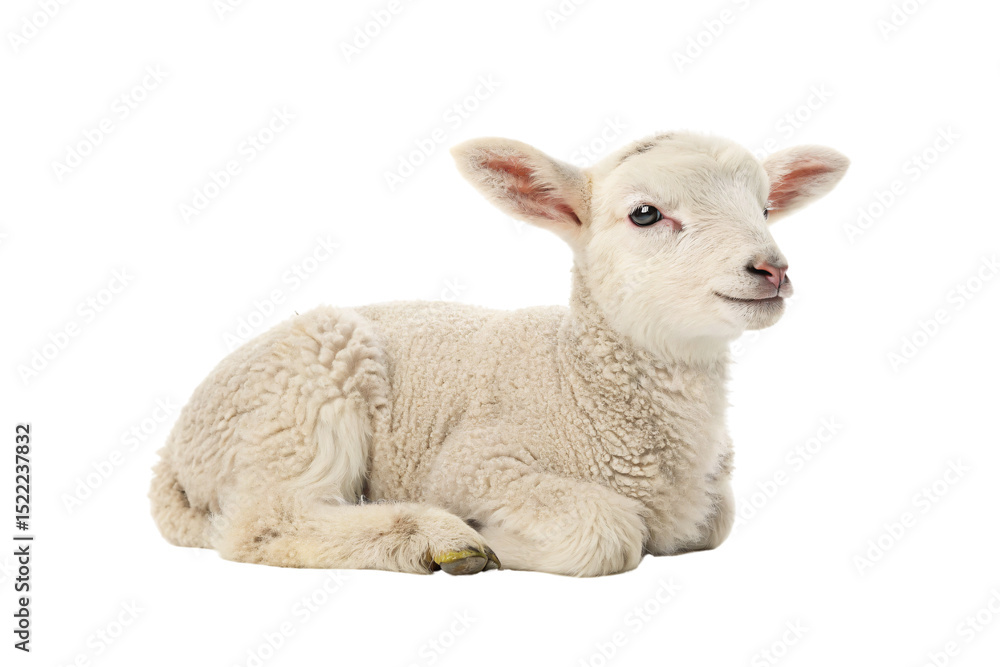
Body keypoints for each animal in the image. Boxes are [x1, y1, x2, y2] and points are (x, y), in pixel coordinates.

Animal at [150, 131, 849, 577]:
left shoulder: (711, 498)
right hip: (302, 394)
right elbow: (608, 531)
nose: (771, 269)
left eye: (765, 208)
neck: (578, 378)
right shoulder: (476, 464)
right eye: (646, 214)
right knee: (264, 522)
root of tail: (172, 454)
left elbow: (716, 520)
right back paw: (437, 542)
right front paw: (494, 540)